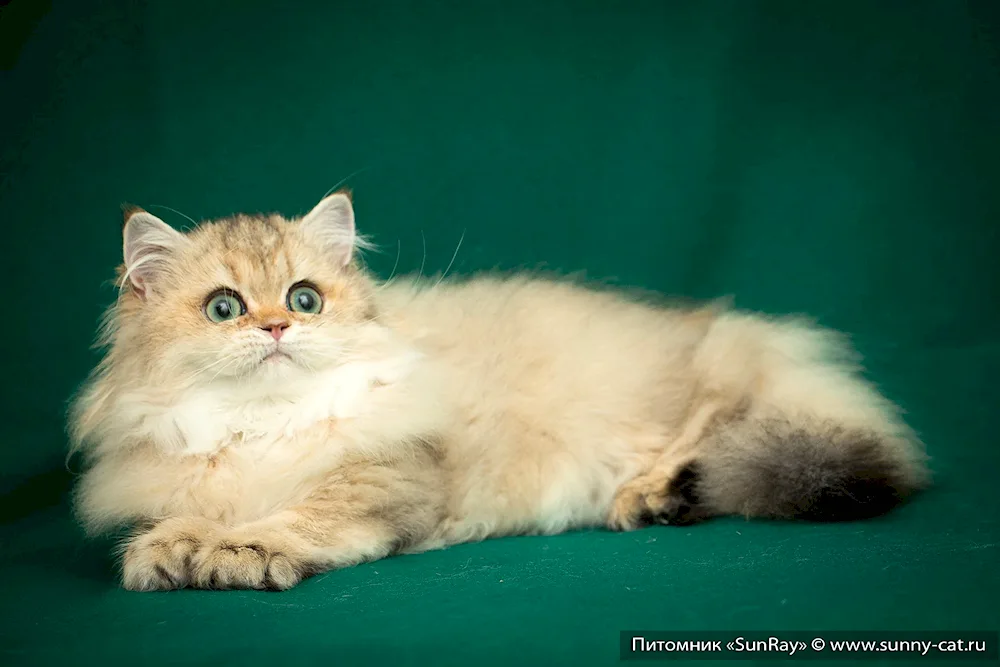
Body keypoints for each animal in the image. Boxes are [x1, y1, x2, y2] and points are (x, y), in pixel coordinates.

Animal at [68, 190, 928, 592]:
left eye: (304, 298)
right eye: (224, 308)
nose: (278, 327)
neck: (267, 425)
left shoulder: (382, 482)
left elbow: (294, 519)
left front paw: (234, 550)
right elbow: (177, 518)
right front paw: (172, 547)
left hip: (719, 380)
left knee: (718, 424)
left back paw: (657, 493)